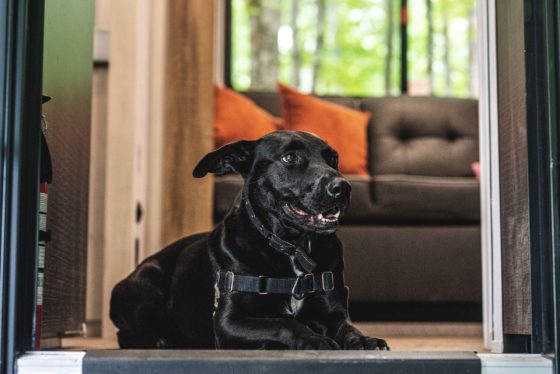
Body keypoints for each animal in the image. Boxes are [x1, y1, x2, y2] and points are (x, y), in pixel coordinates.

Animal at [110, 131, 390, 350]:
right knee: (125, 335)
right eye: (290, 157)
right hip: (147, 289)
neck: (293, 248)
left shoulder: (332, 314)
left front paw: (363, 340)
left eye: (333, 159)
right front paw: (313, 339)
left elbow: (347, 328)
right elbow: (285, 322)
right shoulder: (228, 321)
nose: (343, 188)